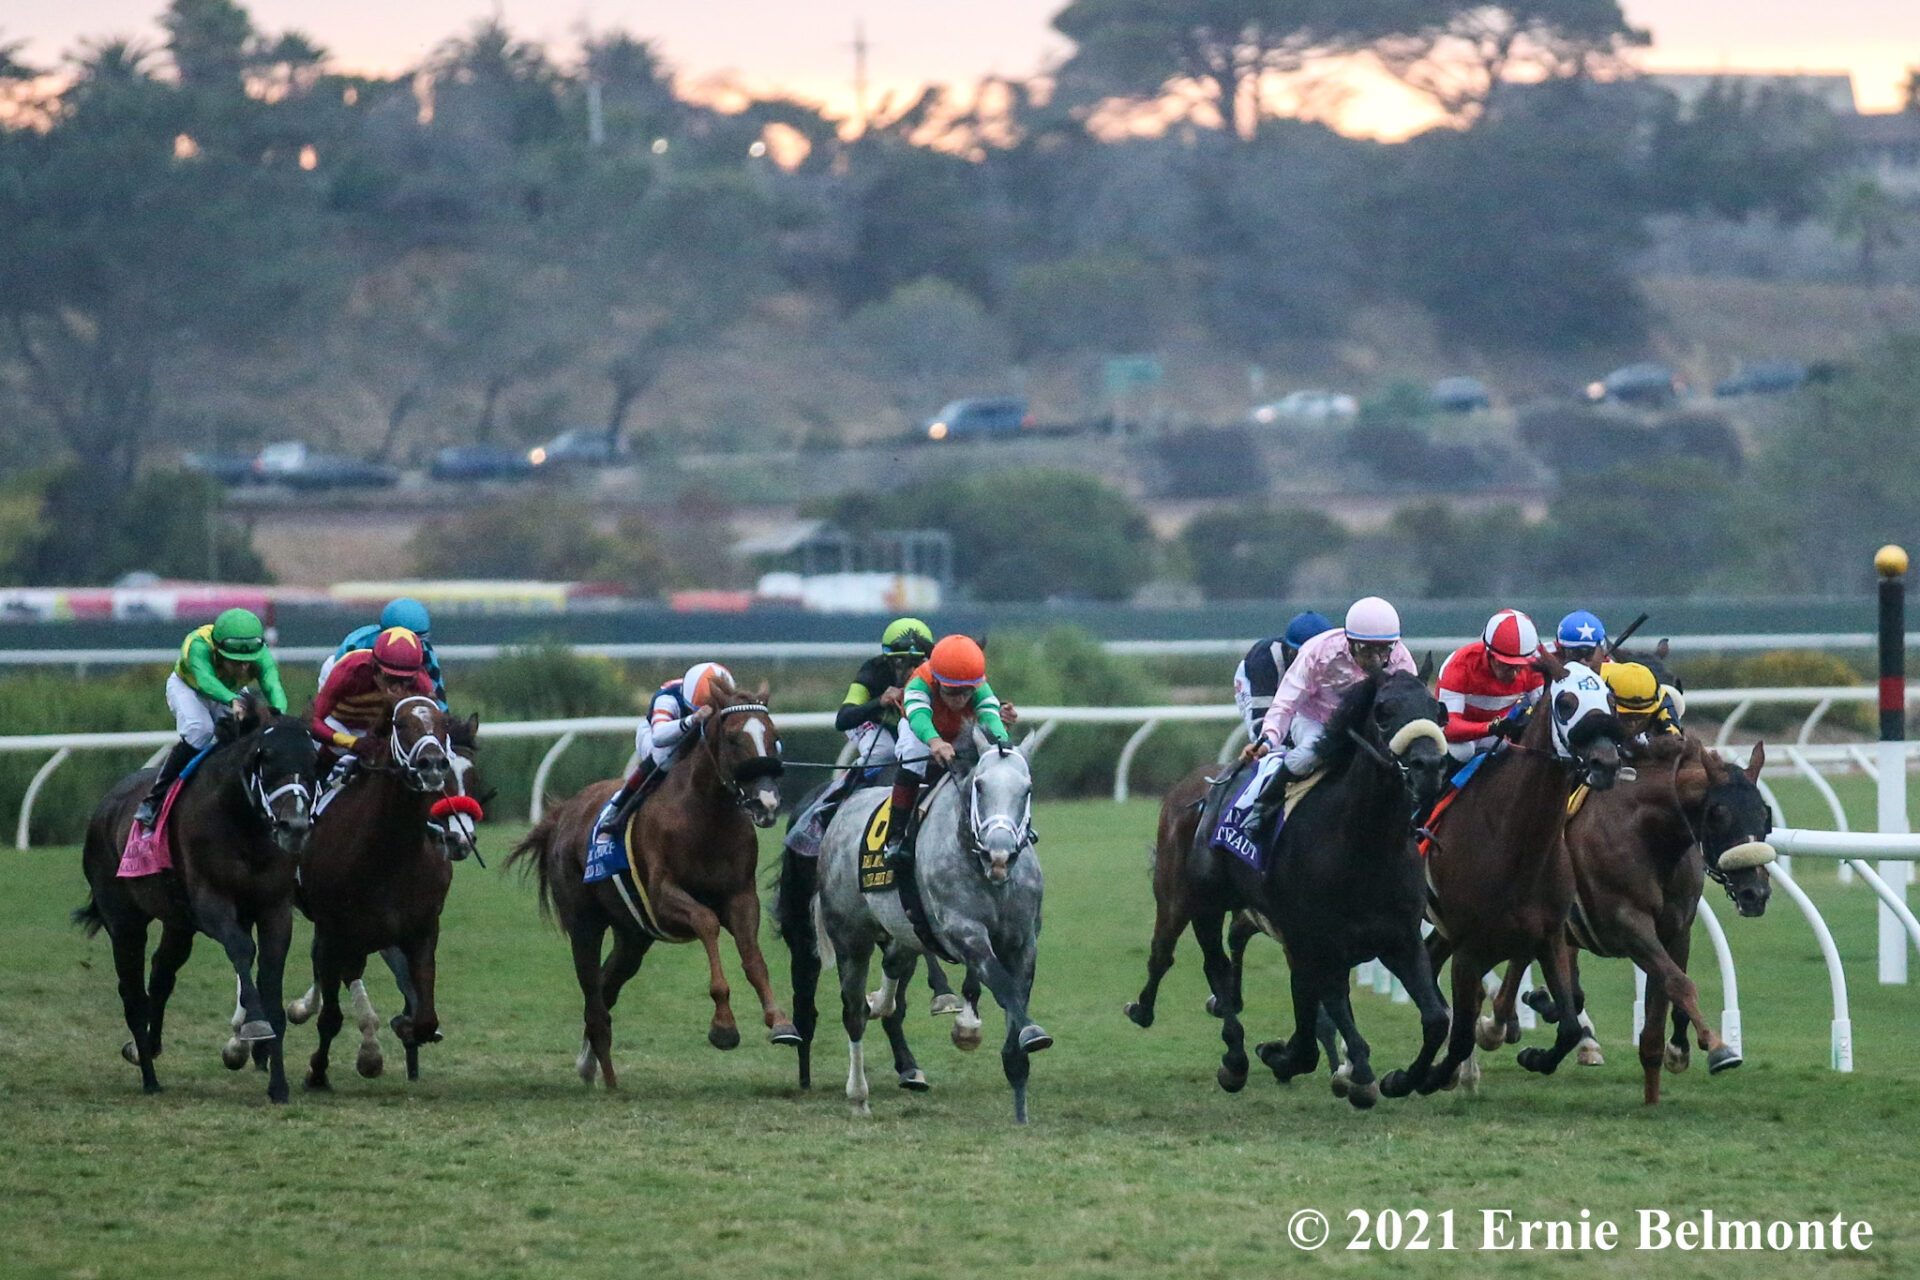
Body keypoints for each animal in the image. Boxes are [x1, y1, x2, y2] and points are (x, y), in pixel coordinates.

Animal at [73, 702, 318, 1105]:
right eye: (265, 757)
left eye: (314, 759)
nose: (294, 827)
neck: (244, 825)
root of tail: (104, 806)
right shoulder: (210, 901)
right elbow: (242, 947)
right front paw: (254, 1024)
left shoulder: (275, 909)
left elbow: (270, 977)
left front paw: (278, 1085)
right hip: (124, 922)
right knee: (132, 993)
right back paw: (149, 1076)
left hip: (177, 922)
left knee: (161, 973)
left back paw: (147, 1047)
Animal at [299, 694, 480, 1090]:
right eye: (401, 723)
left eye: (473, 776)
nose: (432, 763)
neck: (388, 851)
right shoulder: (333, 927)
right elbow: (330, 1016)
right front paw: (316, 1071)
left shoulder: (422, 928)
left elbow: (426, 1016)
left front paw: (406, 1027)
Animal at [506, 675, 798, 1090]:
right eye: (732, 739)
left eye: (775, 737)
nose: (767, 803)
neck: (705, 816)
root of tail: (562, 815)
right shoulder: (663, 898)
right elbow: (707, 923)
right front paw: (723, 1025)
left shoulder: (741, 896)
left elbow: (753, 958)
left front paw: (780, 1021)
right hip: (585, 924)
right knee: (593, 995)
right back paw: (608, 1077)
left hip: (632, 936)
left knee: (605, 987)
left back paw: (589, 1064)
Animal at [814, 740, 1052, 1120]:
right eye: (979, 786)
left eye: (1026, 789)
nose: (999, 855)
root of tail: (843, 809)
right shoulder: (964, 932)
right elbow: (1001, 985)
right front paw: (1028, 1032)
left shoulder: (1023, 941)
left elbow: (1014, 993)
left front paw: (1019, 1095)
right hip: (850, 939)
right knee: (853, 1014)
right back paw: (858, 1096)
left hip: (904, 933)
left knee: (892, 970)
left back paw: (882, 1004)